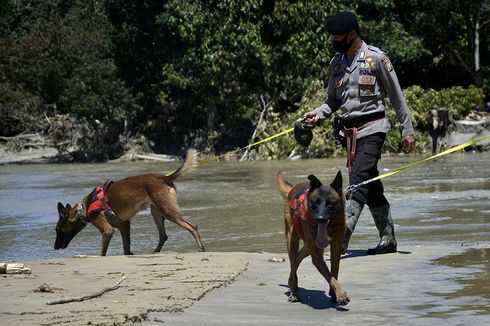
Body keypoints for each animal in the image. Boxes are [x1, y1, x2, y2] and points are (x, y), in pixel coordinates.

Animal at [54, 149, 204, 256]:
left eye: (58, 230)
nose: (54, 247)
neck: (83, 208)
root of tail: (164, 177)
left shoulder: (107, 231)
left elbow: (102, 253)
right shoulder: (124, 225)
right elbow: (126, 249)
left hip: (167, 211)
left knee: (192, 226)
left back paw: (201, 248)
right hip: (156, 212)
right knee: (163, 236)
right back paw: (155, 252)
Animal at [278, 171, 350, 306]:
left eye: (330, 204)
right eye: (315, 203)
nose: (320, 219)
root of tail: (292, 190)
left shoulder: (335, 246)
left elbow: (334, 272)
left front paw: (335, 294)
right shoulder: (317, 255)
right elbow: (330, 277)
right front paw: (341, 295)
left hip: (308, 246)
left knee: (297, 259)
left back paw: (291, 282)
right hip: (292, 240)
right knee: (293, 263)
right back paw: (294, 292)